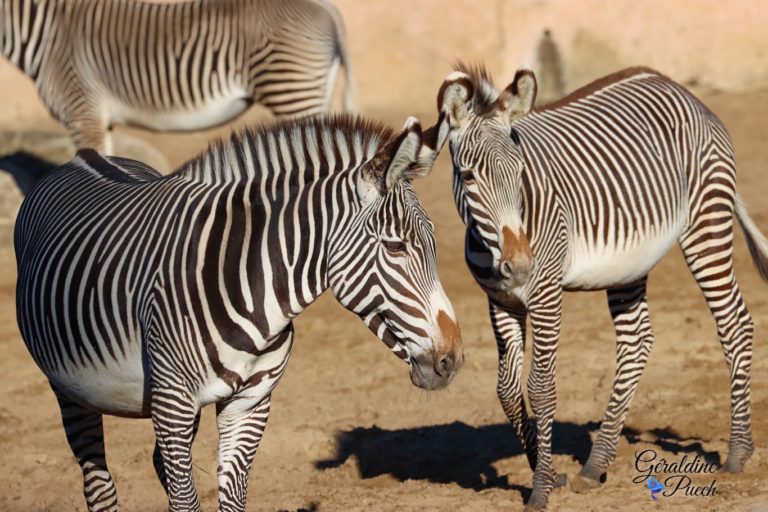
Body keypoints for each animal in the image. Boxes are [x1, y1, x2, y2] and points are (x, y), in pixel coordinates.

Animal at [13, 113, 462, 512]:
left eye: (434, 241)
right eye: (395, 247)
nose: (452, 360)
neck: (255, 294)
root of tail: (84, 157)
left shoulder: (249, 403)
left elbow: (231, 499)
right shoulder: (173, 402)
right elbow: (185, 501)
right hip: (70, 388)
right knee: (99, 485)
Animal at [438, 66, 768, 510]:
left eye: (521, 173)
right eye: (470, 177)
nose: (521, 265)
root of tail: (676, 86)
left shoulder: (546, 294)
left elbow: (541, 386)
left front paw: (540, 488)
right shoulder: (500, 301)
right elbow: (506, 389)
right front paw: (550, 472)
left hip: (706, 222)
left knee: (734, 324)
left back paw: (738, 451)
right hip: (629, 264)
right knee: (636, 342)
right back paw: (595, 465)